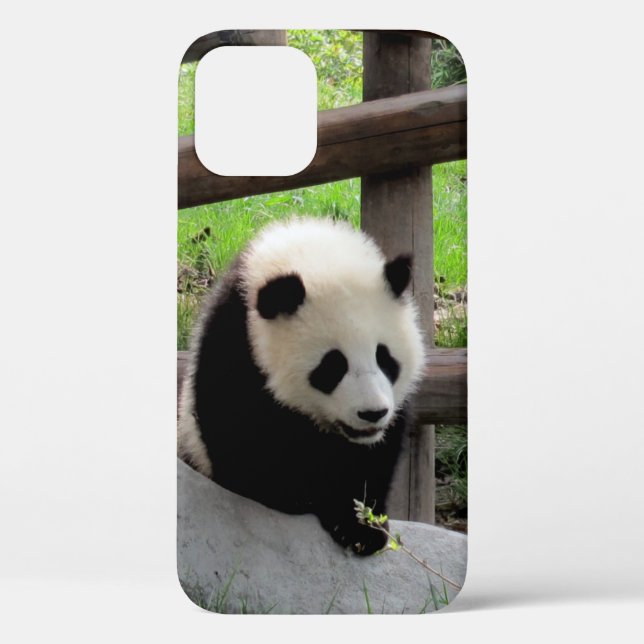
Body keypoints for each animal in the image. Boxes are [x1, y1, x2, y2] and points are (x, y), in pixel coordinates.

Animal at [178, 217, 426, 555]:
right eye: (332, 366)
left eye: (385, 358)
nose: (372, 413)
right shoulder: (237, 343)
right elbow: (241, 437)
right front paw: (297, 496)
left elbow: (375, 455)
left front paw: (361, 528)